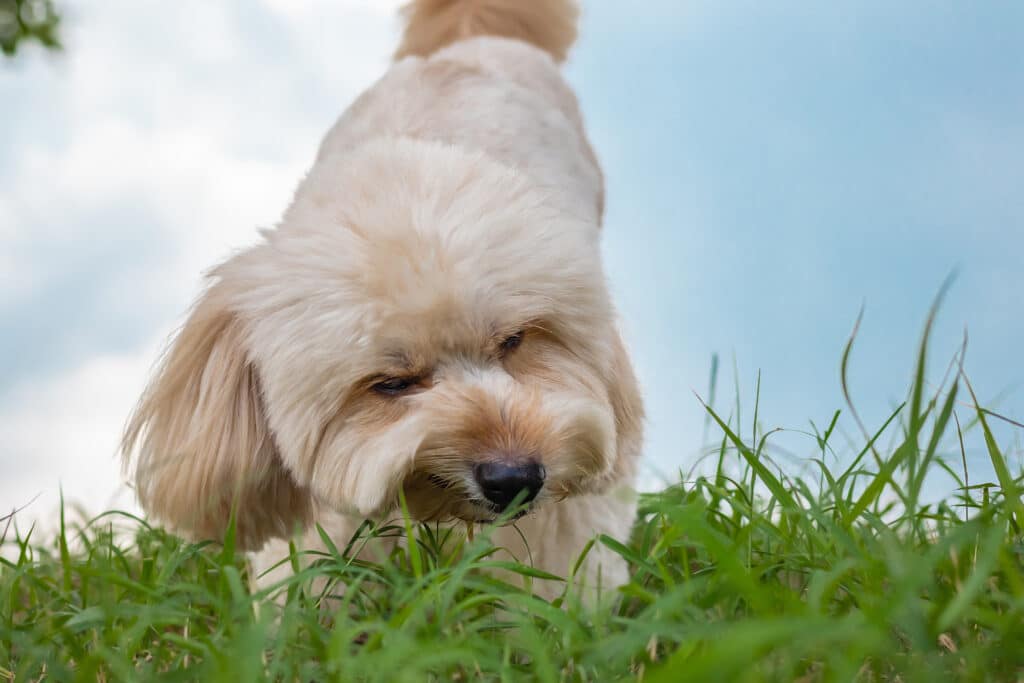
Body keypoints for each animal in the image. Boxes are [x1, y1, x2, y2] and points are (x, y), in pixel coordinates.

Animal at [123, 0, 643, 598]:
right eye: (390, 384)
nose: (514, 478)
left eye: (514, 340)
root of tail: (462, 45)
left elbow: (562, 565)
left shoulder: (575, 434)